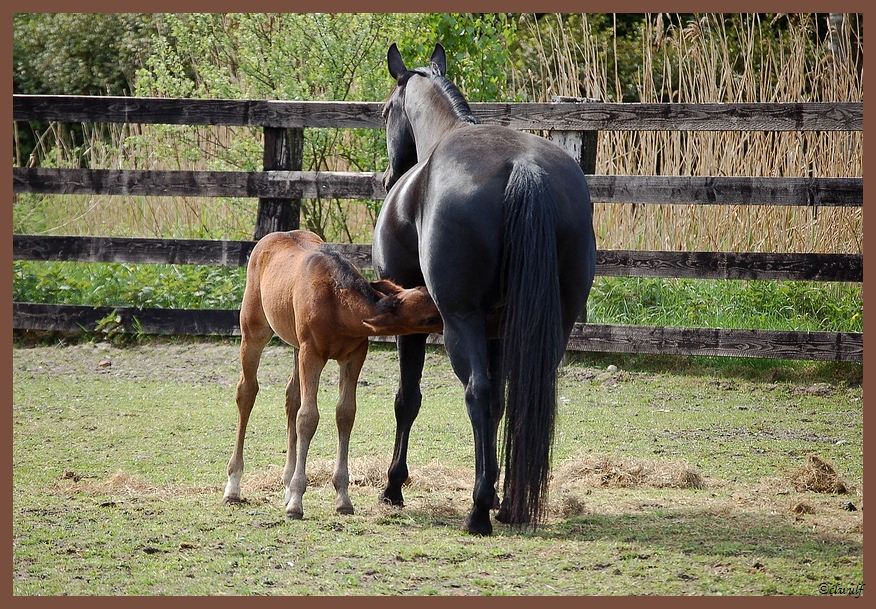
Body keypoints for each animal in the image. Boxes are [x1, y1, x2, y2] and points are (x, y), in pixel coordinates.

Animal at [224, 229, 442, 516]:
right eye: (427, 318)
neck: (337, 303)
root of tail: (271, 238)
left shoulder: (353, 356)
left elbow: (345, 414)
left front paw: (342, 497)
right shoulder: (312, 354)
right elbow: (308, 418)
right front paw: (297, 501)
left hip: (295, 345)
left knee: (291, 398)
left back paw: (285, 484)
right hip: (254, 332)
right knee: (247, 392)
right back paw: (233, 487)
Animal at [372, 42, 600, 536]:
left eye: (385, 112)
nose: (387, 178)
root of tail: (525, 168)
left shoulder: (413, 322)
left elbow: (408, 399)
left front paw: (394, 486)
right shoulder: (497, 330)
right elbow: (498, 402)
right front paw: (494, 488)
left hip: (461, 322)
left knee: (476, 393)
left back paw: (478, 510)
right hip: (550, 325)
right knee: (517, 398)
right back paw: (509, 502)